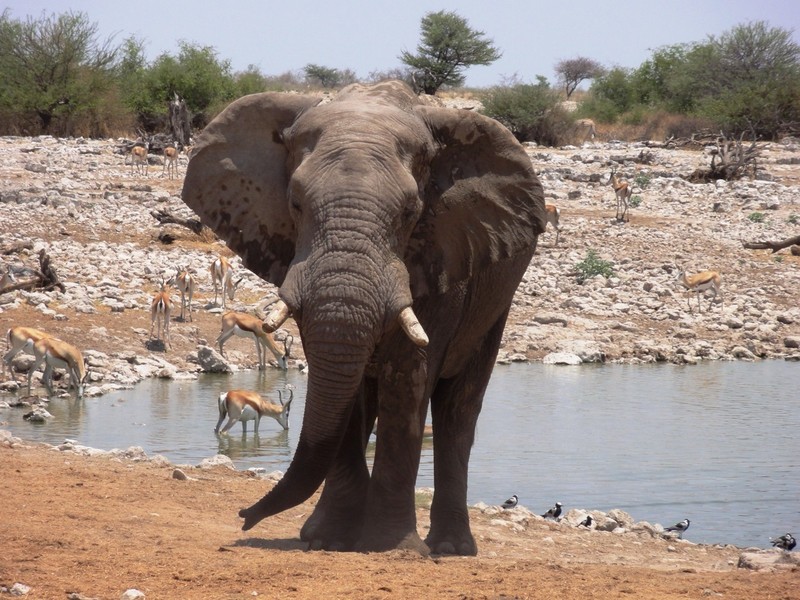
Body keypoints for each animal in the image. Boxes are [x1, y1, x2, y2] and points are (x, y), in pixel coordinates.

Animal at [180, 81, 544, 556]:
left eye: (410, 213)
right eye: (295, 204)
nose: (244, 517)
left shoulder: (442, 253)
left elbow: (408, 379)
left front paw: (392, 547)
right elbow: (343, 390)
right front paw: (329, 539)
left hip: (497, 299)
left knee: (459, 410)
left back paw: (451, 548)